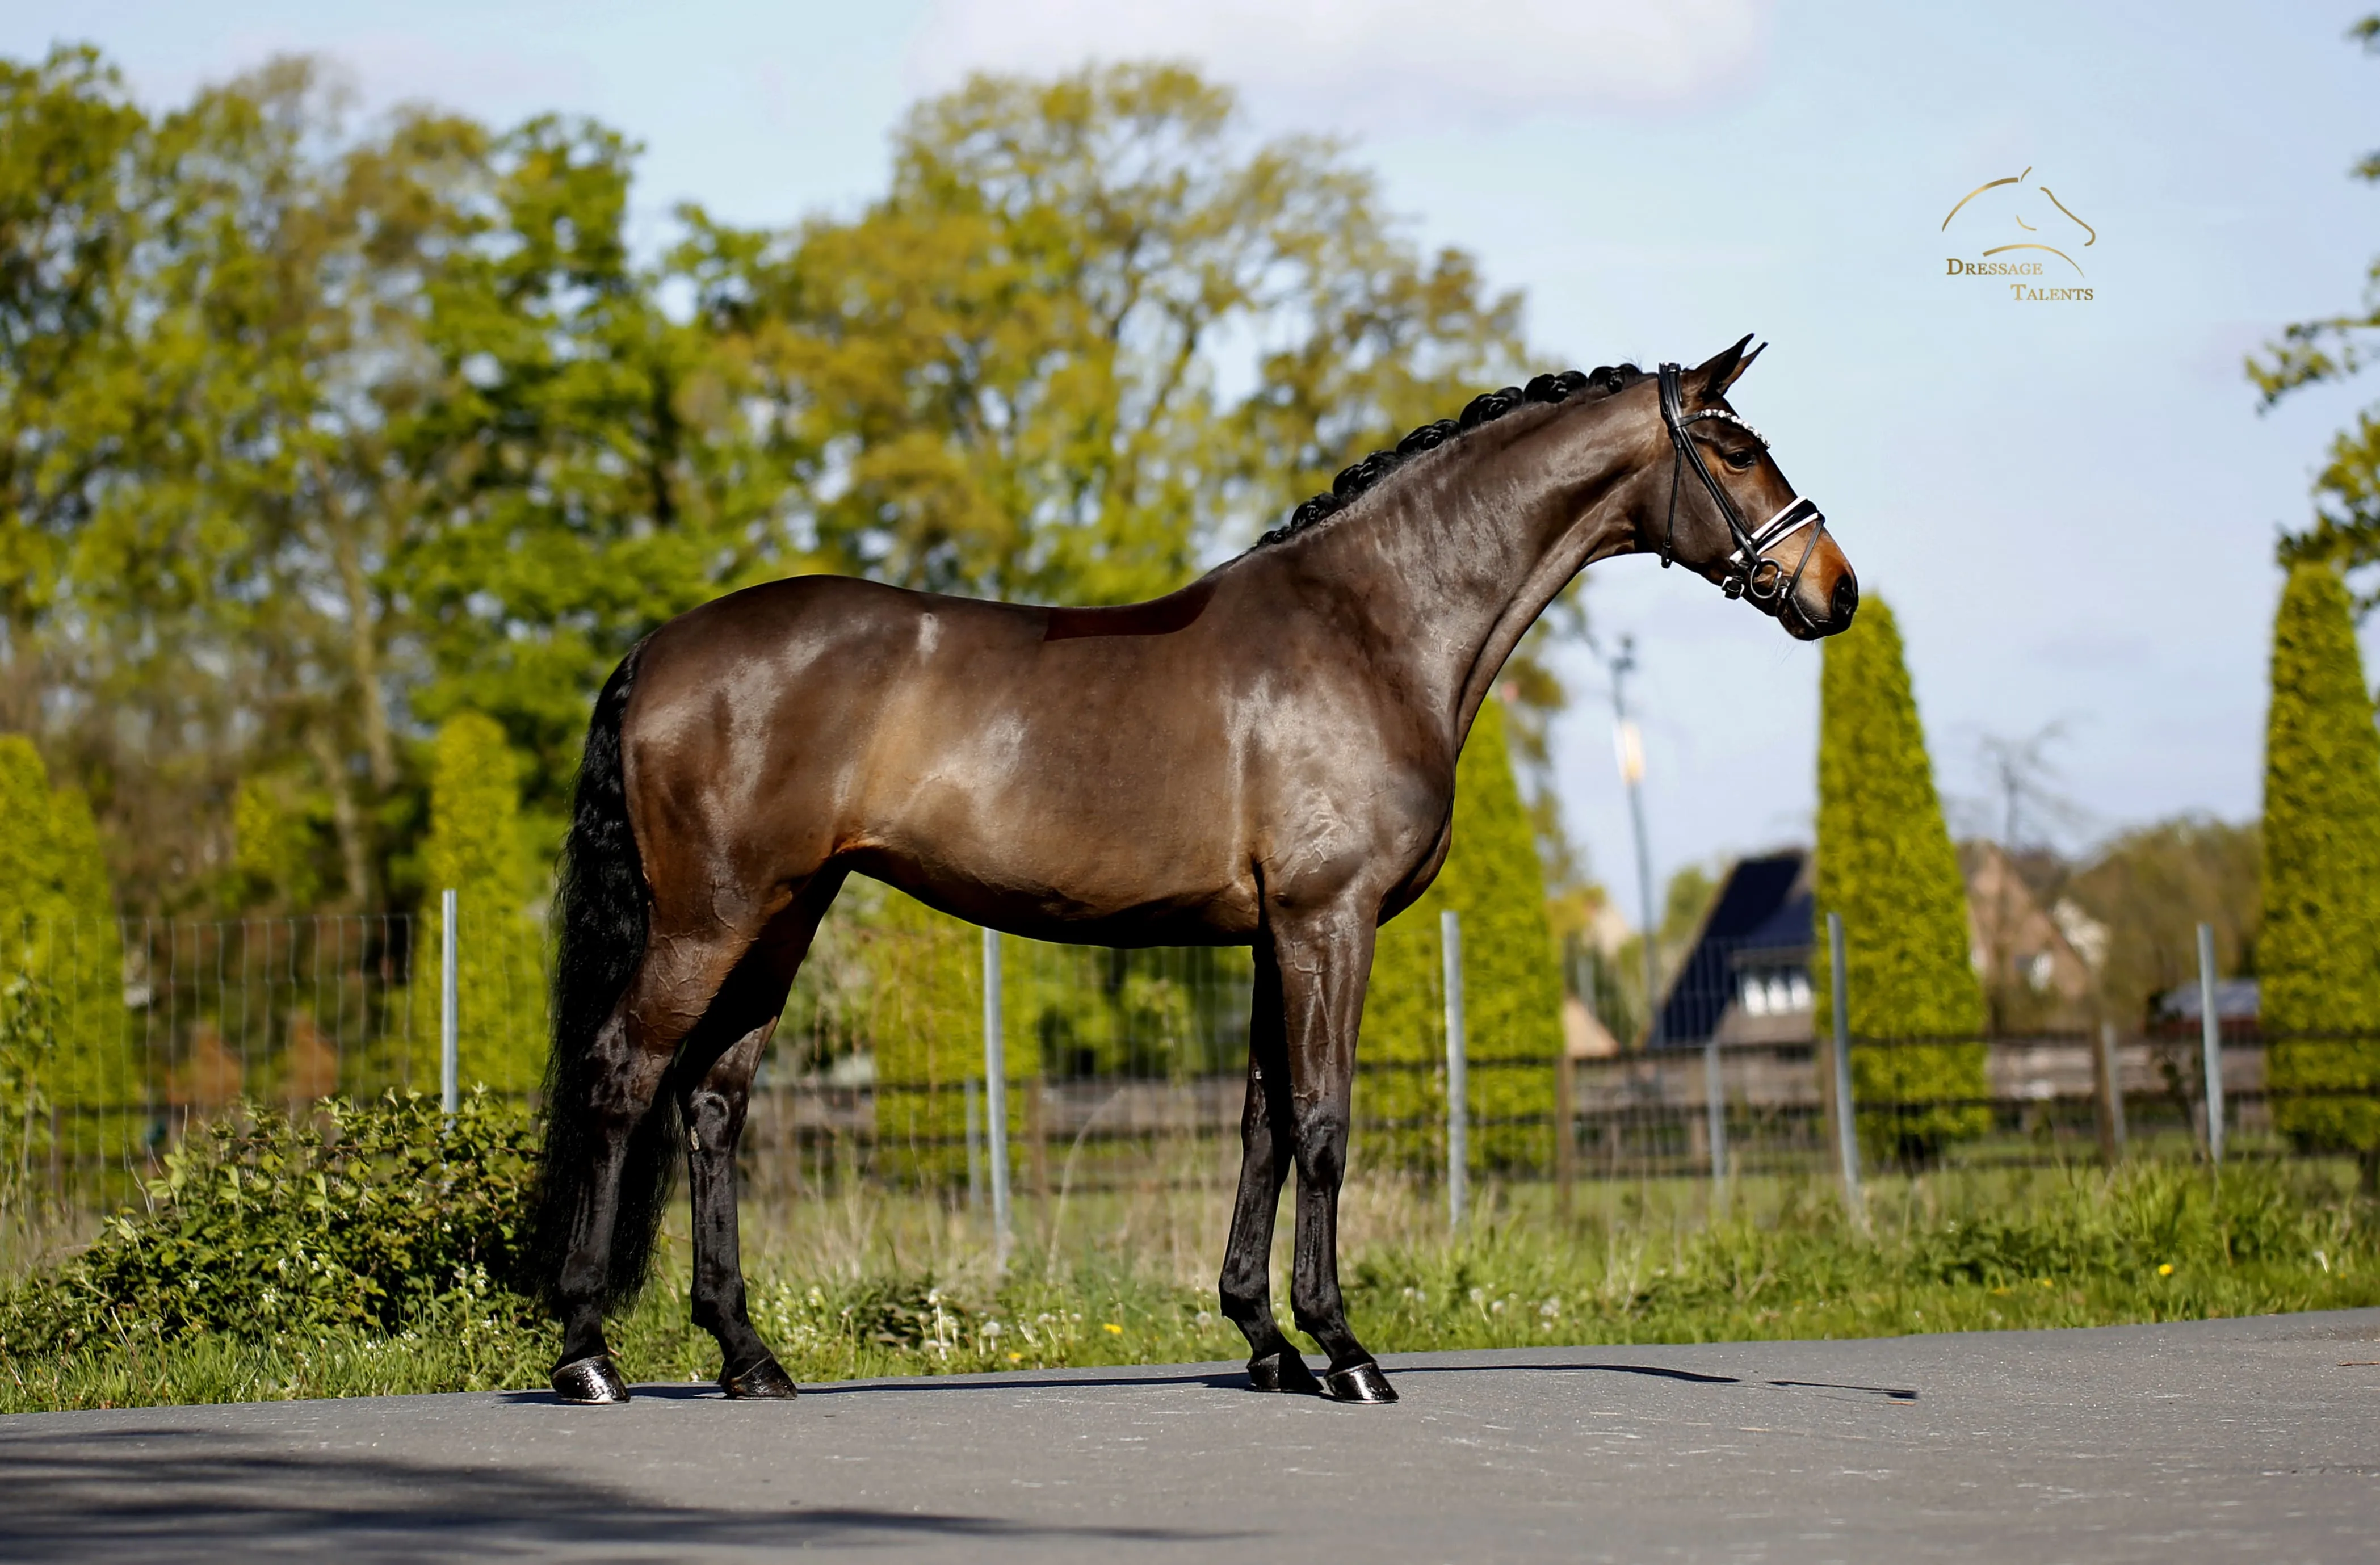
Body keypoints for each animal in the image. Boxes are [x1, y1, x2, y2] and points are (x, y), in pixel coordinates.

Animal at [528, 335, 1859, 1407]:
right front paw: (1345, 1351)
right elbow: (1321, 1123)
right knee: (619, 1076)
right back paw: (587, 1352)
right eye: (1734, 448)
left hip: (783, 916)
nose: (1834, 591)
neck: (1367, 626)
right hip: (711, 917)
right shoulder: (1330, 921)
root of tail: (659, 645)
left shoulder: (1274, 934)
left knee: (712, 1103)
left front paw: (1265, 1342)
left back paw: (748, 1356)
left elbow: (1260, 1123)